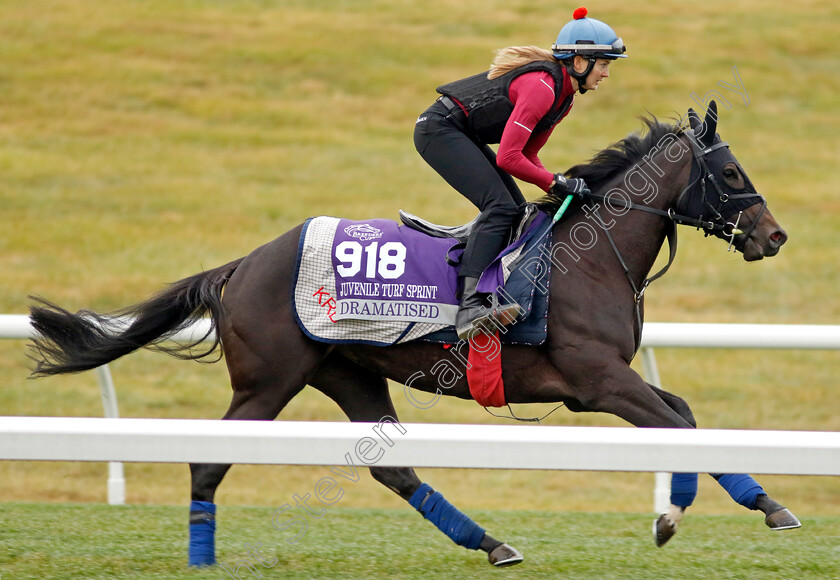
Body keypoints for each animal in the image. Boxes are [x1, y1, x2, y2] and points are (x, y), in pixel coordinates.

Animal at [29, 99, 796, 568]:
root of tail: (242, 264)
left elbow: (683, 416)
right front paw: (736, 510)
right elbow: (681, 423)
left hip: (349, 374)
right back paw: (202, 556)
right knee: (208, 461)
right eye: (732, 171)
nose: (774, 236)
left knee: (391, 469)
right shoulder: (598, 380)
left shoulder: (604, 383)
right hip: (268, 382)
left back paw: (492, 543)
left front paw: (723, 508)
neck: (589, 258)